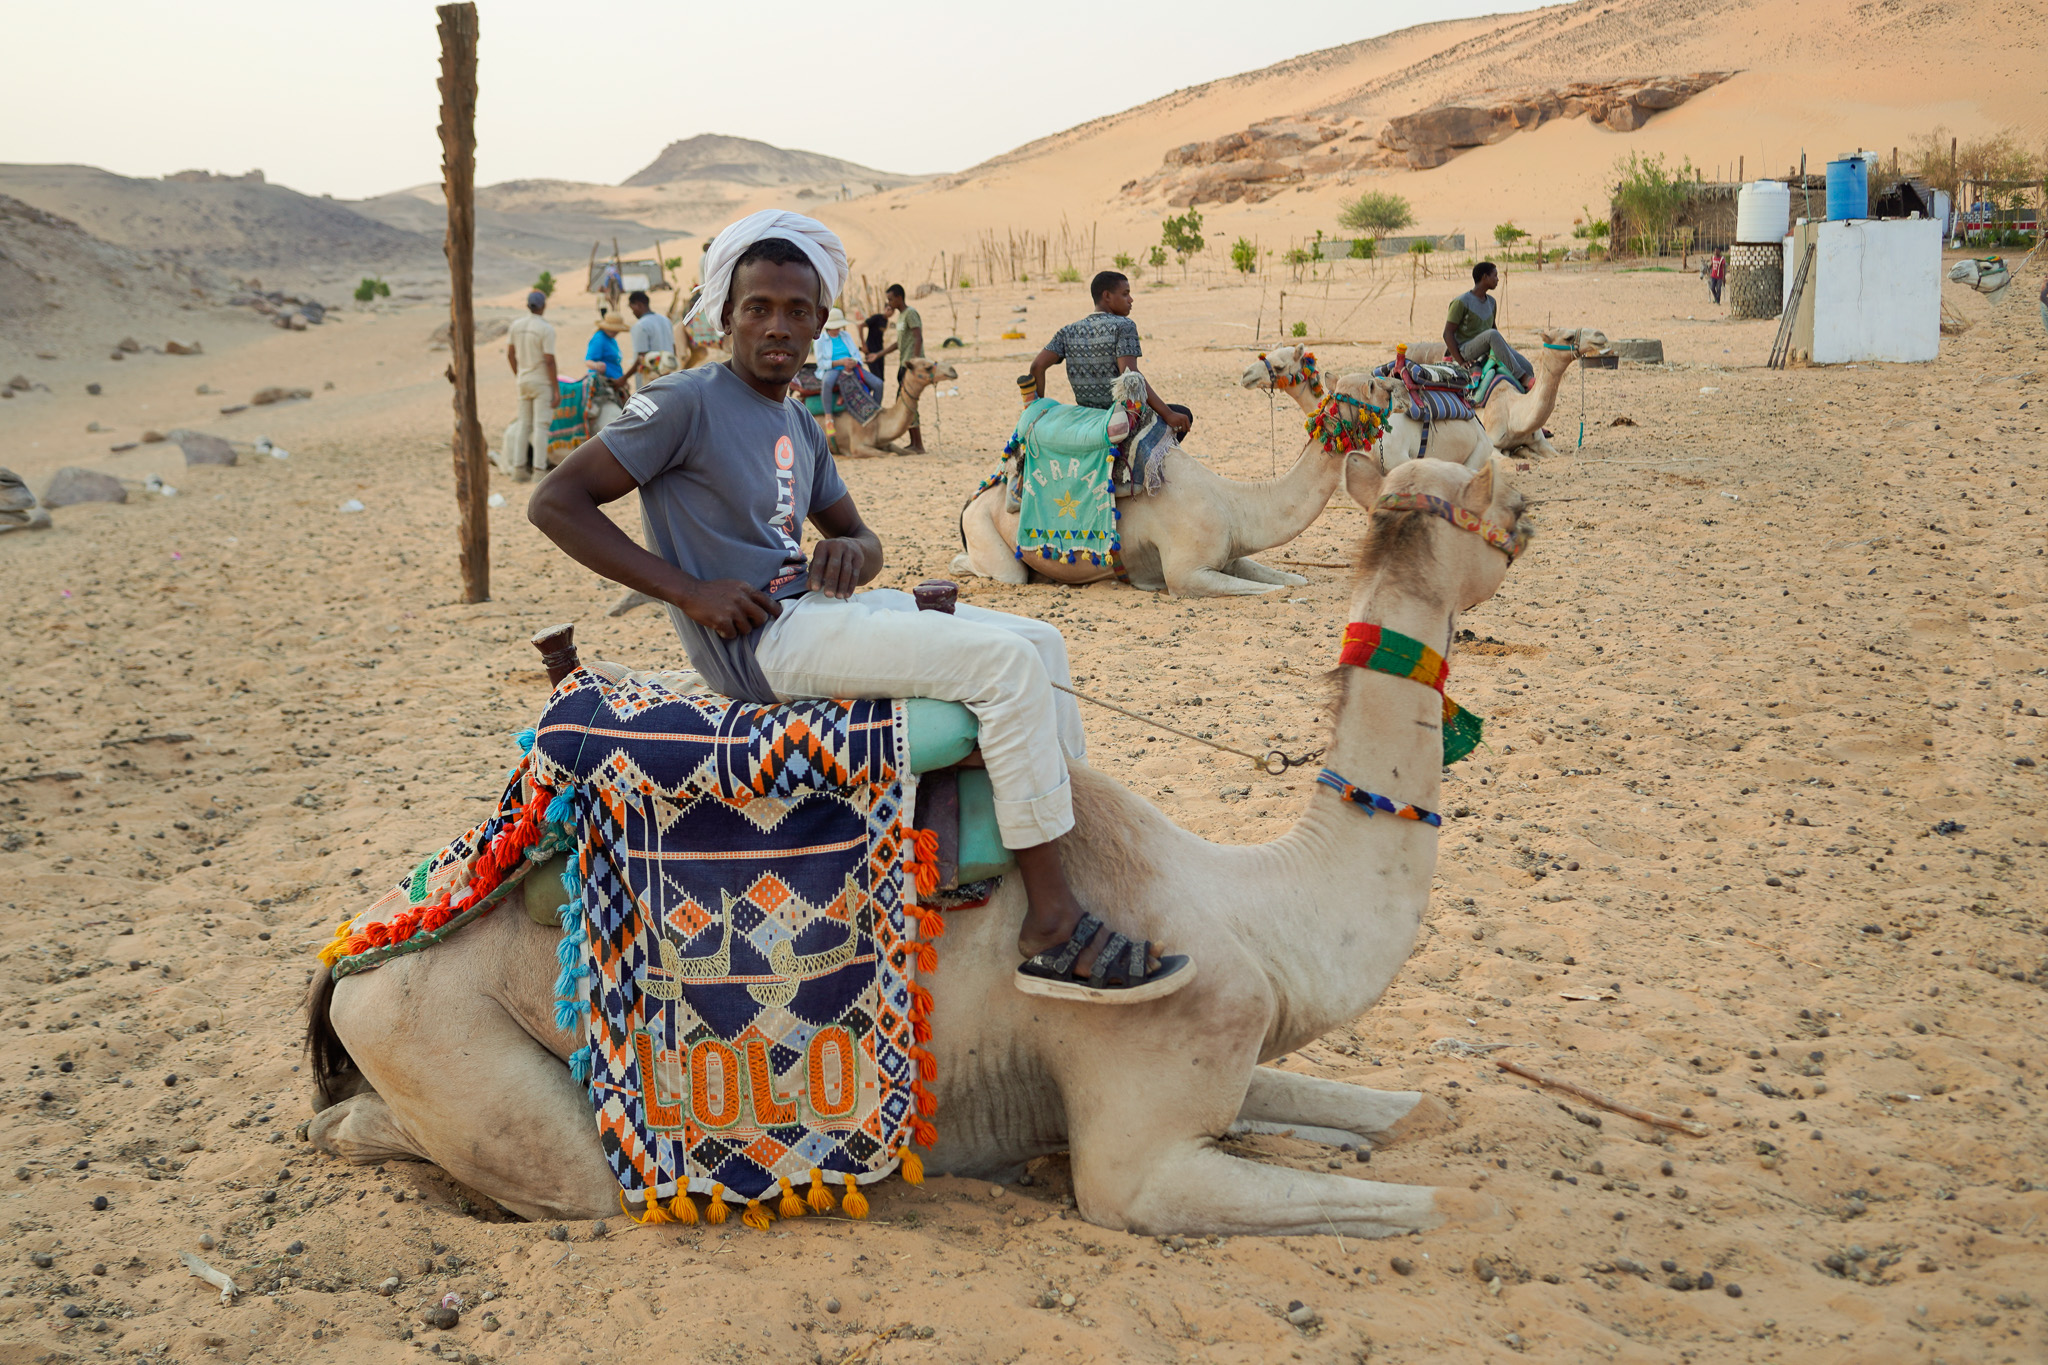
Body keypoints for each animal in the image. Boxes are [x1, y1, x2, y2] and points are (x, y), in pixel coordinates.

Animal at [304, 453, 1528, 1238]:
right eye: (1499, 489)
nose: (1532, 513)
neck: (1253, 905)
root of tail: (352, 958)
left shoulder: (1230, 1059)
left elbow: (1405, 1113)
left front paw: (1404, 1121)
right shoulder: (1140, 1154)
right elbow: (1452, 1204)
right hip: (443, 1035)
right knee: (503, 1164)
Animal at [822, 357, 958, 459]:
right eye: (927, 367)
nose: (953, 370)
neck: (878, 422)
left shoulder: (884, 442)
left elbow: (906, 451)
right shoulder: (857, 446)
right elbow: (891, 455)